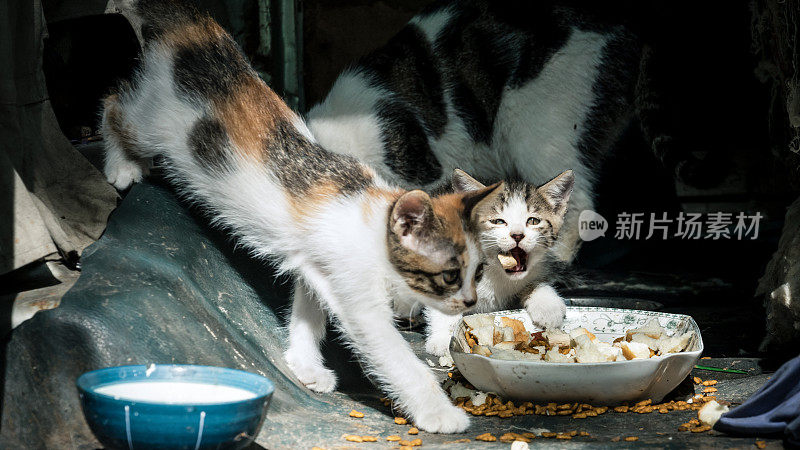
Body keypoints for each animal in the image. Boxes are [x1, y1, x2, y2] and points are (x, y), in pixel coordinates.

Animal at [100, 0, 500, 432]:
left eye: (479, 271)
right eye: (449, 276)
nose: (470, 302)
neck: (371, 217)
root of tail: (196, 25)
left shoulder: (317, 266)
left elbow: (309, 310)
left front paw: (305, 365)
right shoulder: (360, 298)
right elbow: (397, 357)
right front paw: (440, 413)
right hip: (154, 122)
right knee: (114, 102)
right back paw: (121, 165)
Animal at [424, 169, 576, 356]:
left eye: (533, 221)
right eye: (498, 221)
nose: (517, 235)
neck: (493, 271)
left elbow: (536, 282)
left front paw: (547, 305)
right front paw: (444, 338)